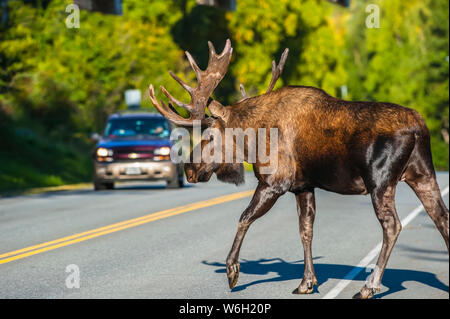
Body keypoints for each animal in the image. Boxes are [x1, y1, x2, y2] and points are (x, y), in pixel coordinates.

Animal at [149, 40, 450, 300]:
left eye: (209, 135)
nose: (189, 169)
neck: (253, 138)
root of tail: (418, 127)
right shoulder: (303, 186)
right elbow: (305, 230)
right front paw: (307, 282)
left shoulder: (274, 182)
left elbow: (244, 218)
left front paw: (232, 271)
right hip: (422, 174)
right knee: (441, 217)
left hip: (380, 180)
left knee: (392, 225)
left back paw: (369, 286)